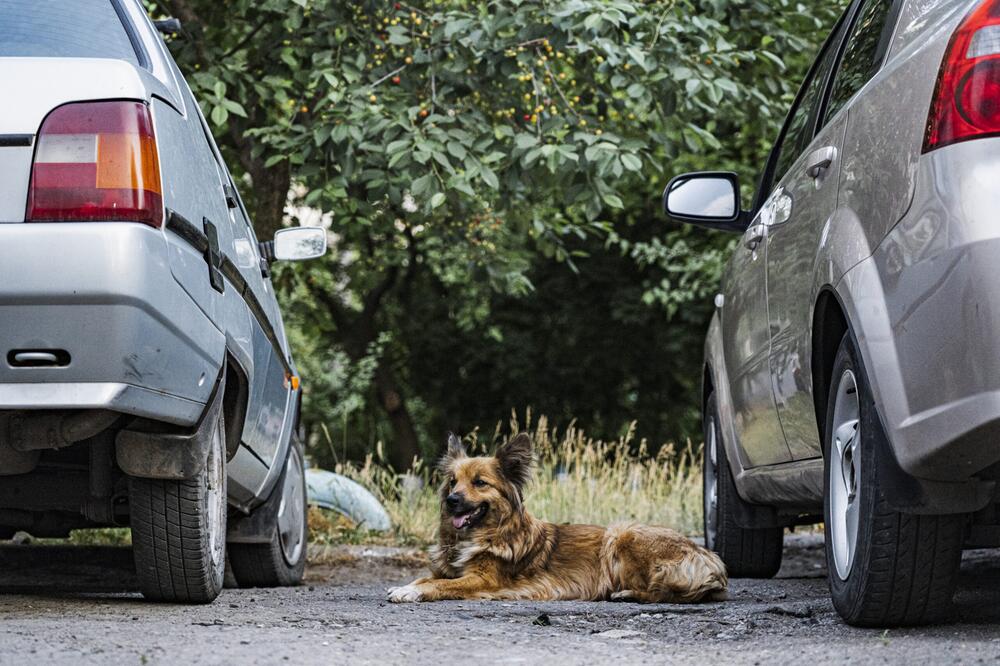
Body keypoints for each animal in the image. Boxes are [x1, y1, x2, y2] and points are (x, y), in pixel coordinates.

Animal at [384, 430, 728, 600]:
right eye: (453, 481)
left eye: (480, 482)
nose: (452, 500)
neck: (483, 533)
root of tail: (708, 557)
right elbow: (429, 576)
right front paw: (406, 585)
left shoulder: (485, 580)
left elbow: (440, 585)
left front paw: (409, 592)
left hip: (621, 533)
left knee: (664, 593)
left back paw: (625, 593)